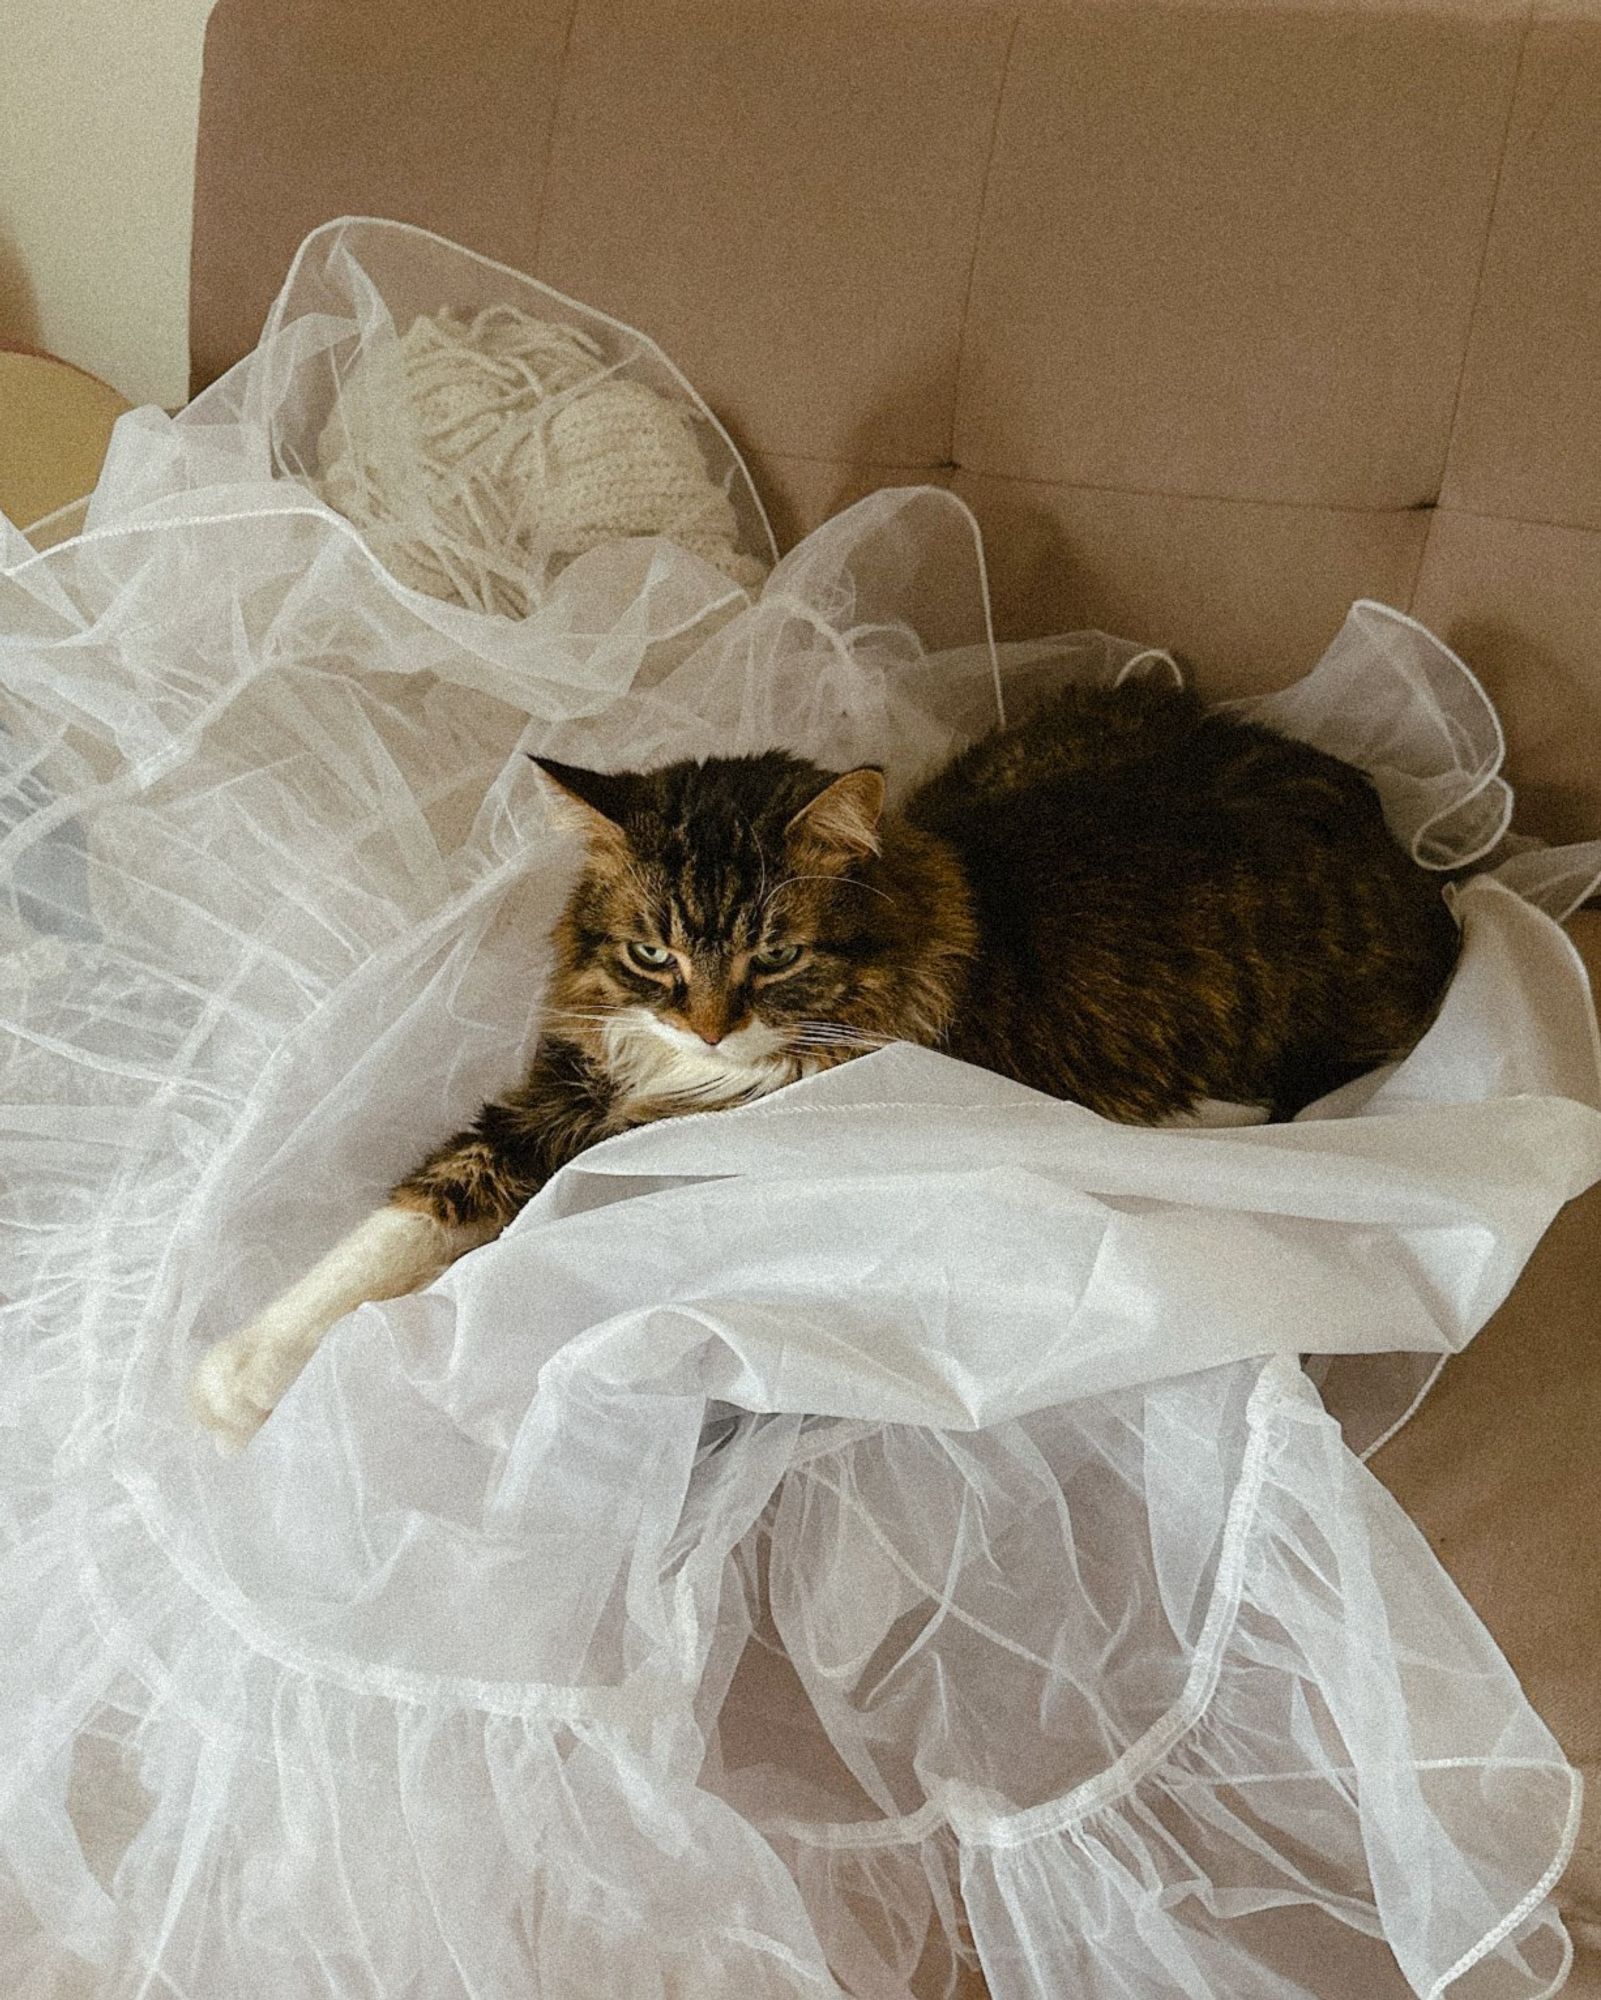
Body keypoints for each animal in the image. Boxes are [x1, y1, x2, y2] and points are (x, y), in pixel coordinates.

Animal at [194, 680, 1456, 1448]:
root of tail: (1409, 853)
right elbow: (403, 1216)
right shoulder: (563, 1093)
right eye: (653, 953)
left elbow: (506, 1259)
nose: (708, 1023)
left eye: (775, 954)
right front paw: (239, 1371)